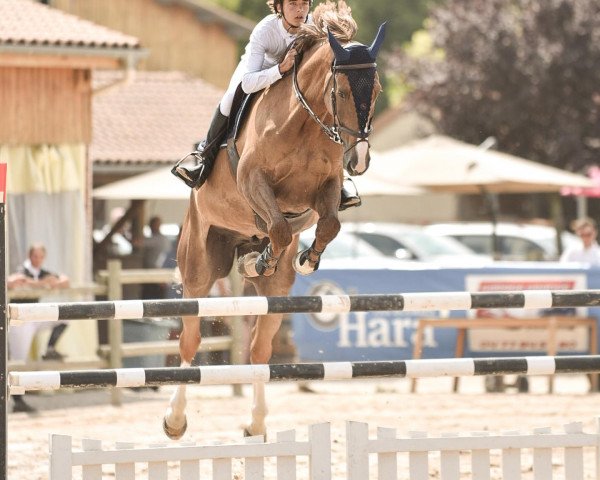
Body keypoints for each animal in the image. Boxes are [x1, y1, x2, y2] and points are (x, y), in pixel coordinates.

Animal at [164, 2, 384, 438]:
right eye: (342, 91)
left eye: (378, 91)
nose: (359, 160)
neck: (305, 124)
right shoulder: (252, 181)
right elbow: (279, 225)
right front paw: (263, 257)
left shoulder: (326, 190)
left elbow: (327, 225)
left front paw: (306, 258)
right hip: (199, 266)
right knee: (189, 341)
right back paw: (175, 420)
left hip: (276, 292)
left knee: (259, 349)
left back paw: (256, 422)